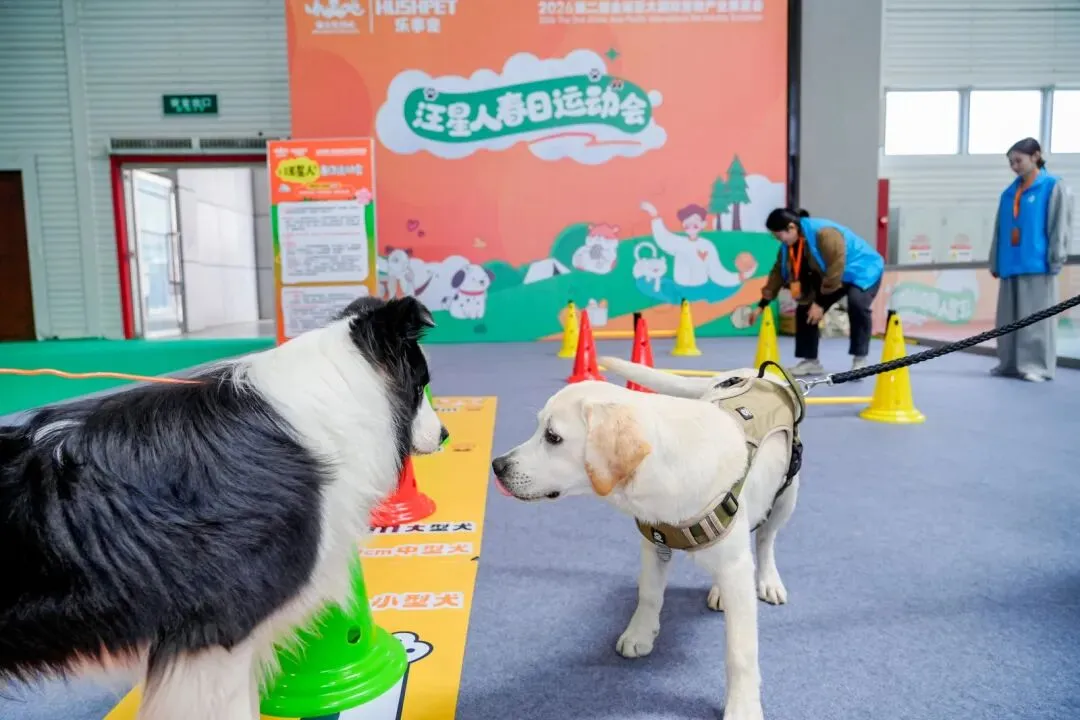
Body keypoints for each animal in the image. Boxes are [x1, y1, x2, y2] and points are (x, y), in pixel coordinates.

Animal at [490, 356, 805, 720]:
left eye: (553, 437)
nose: (497, 466)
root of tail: (751, 373)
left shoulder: (735, 565)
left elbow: (740, 651)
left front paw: (742, 707)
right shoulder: (654, 541)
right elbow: (650, 595)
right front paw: (640, 633)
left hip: (785, 497)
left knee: (765, 540)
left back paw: (767, 580)